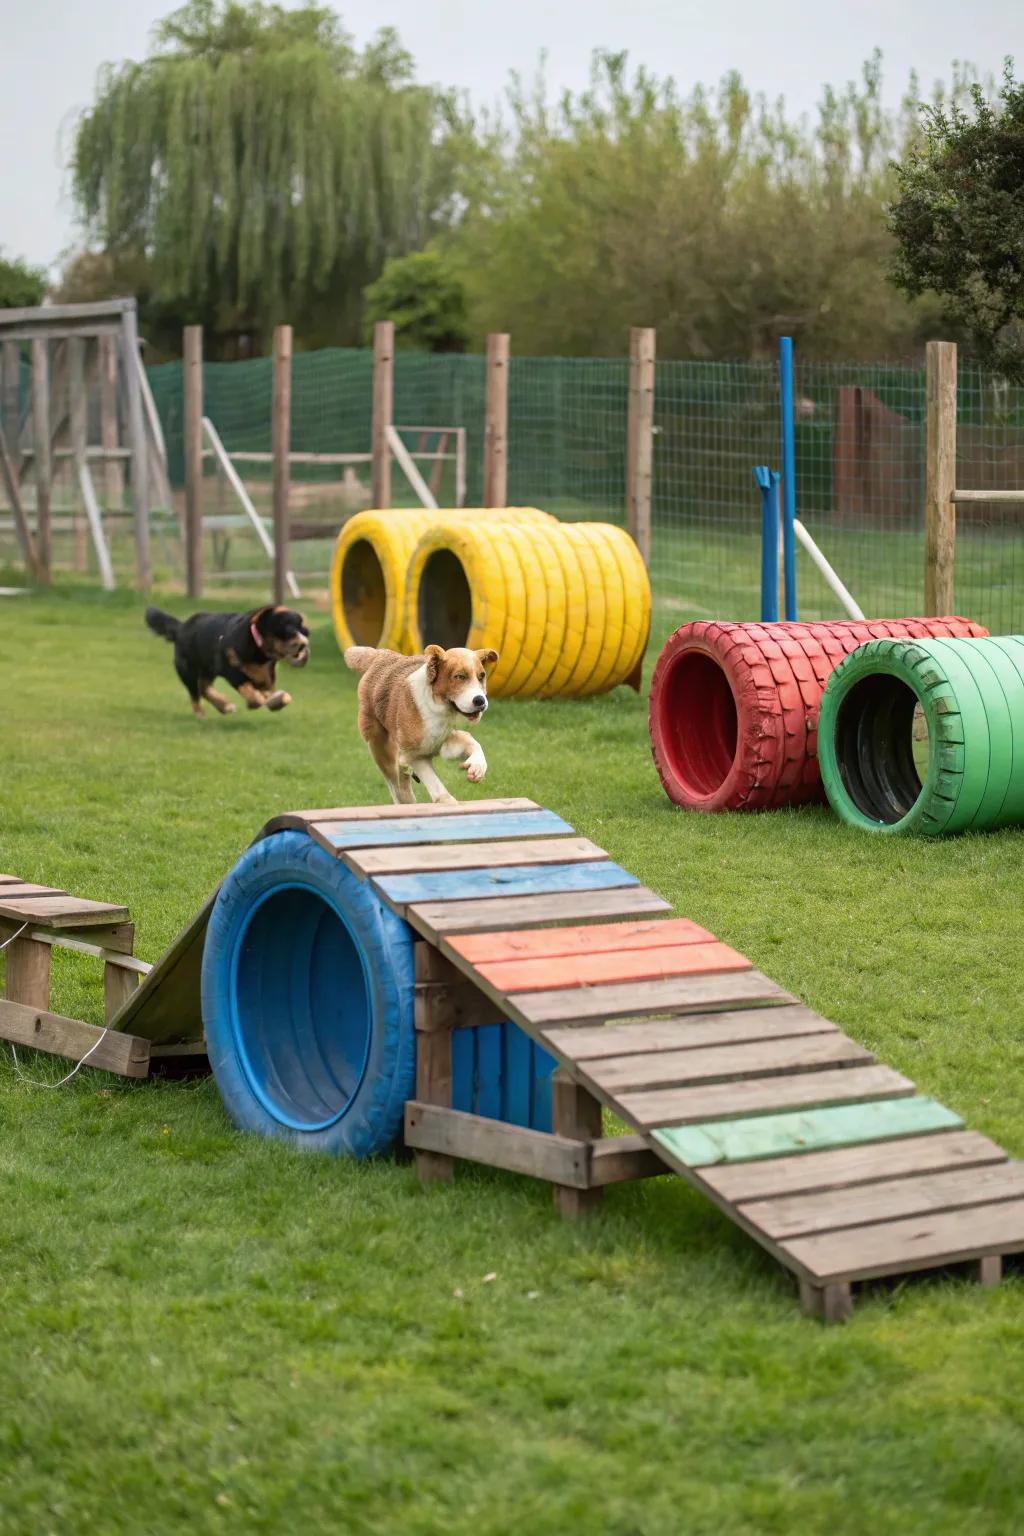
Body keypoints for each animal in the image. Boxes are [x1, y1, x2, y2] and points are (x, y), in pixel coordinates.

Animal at [145, 602, 310, 715]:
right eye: (288, 627)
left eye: (301, 627)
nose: (303, 643)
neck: (258, 650)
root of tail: (181, 627)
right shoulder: (229, 668)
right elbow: (246, 688)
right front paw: (254, 701)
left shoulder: (265, 678)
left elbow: (272, 694)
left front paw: (277, 700)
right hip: (187, 670)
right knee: (195, 693)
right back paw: (201, 713)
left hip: (207, 670)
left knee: (203, 688)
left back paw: (224, 706)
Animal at [343, 642, 500, 804]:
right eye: (459, 677)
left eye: (481, 676)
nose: (480, 701)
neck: (438, 709)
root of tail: (380, 655)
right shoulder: (414, 755)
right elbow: (433, 781)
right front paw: (447, 801)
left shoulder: (447, 740)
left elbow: (471, 742)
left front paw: (477, 767)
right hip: (380, 745)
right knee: (397, 784)